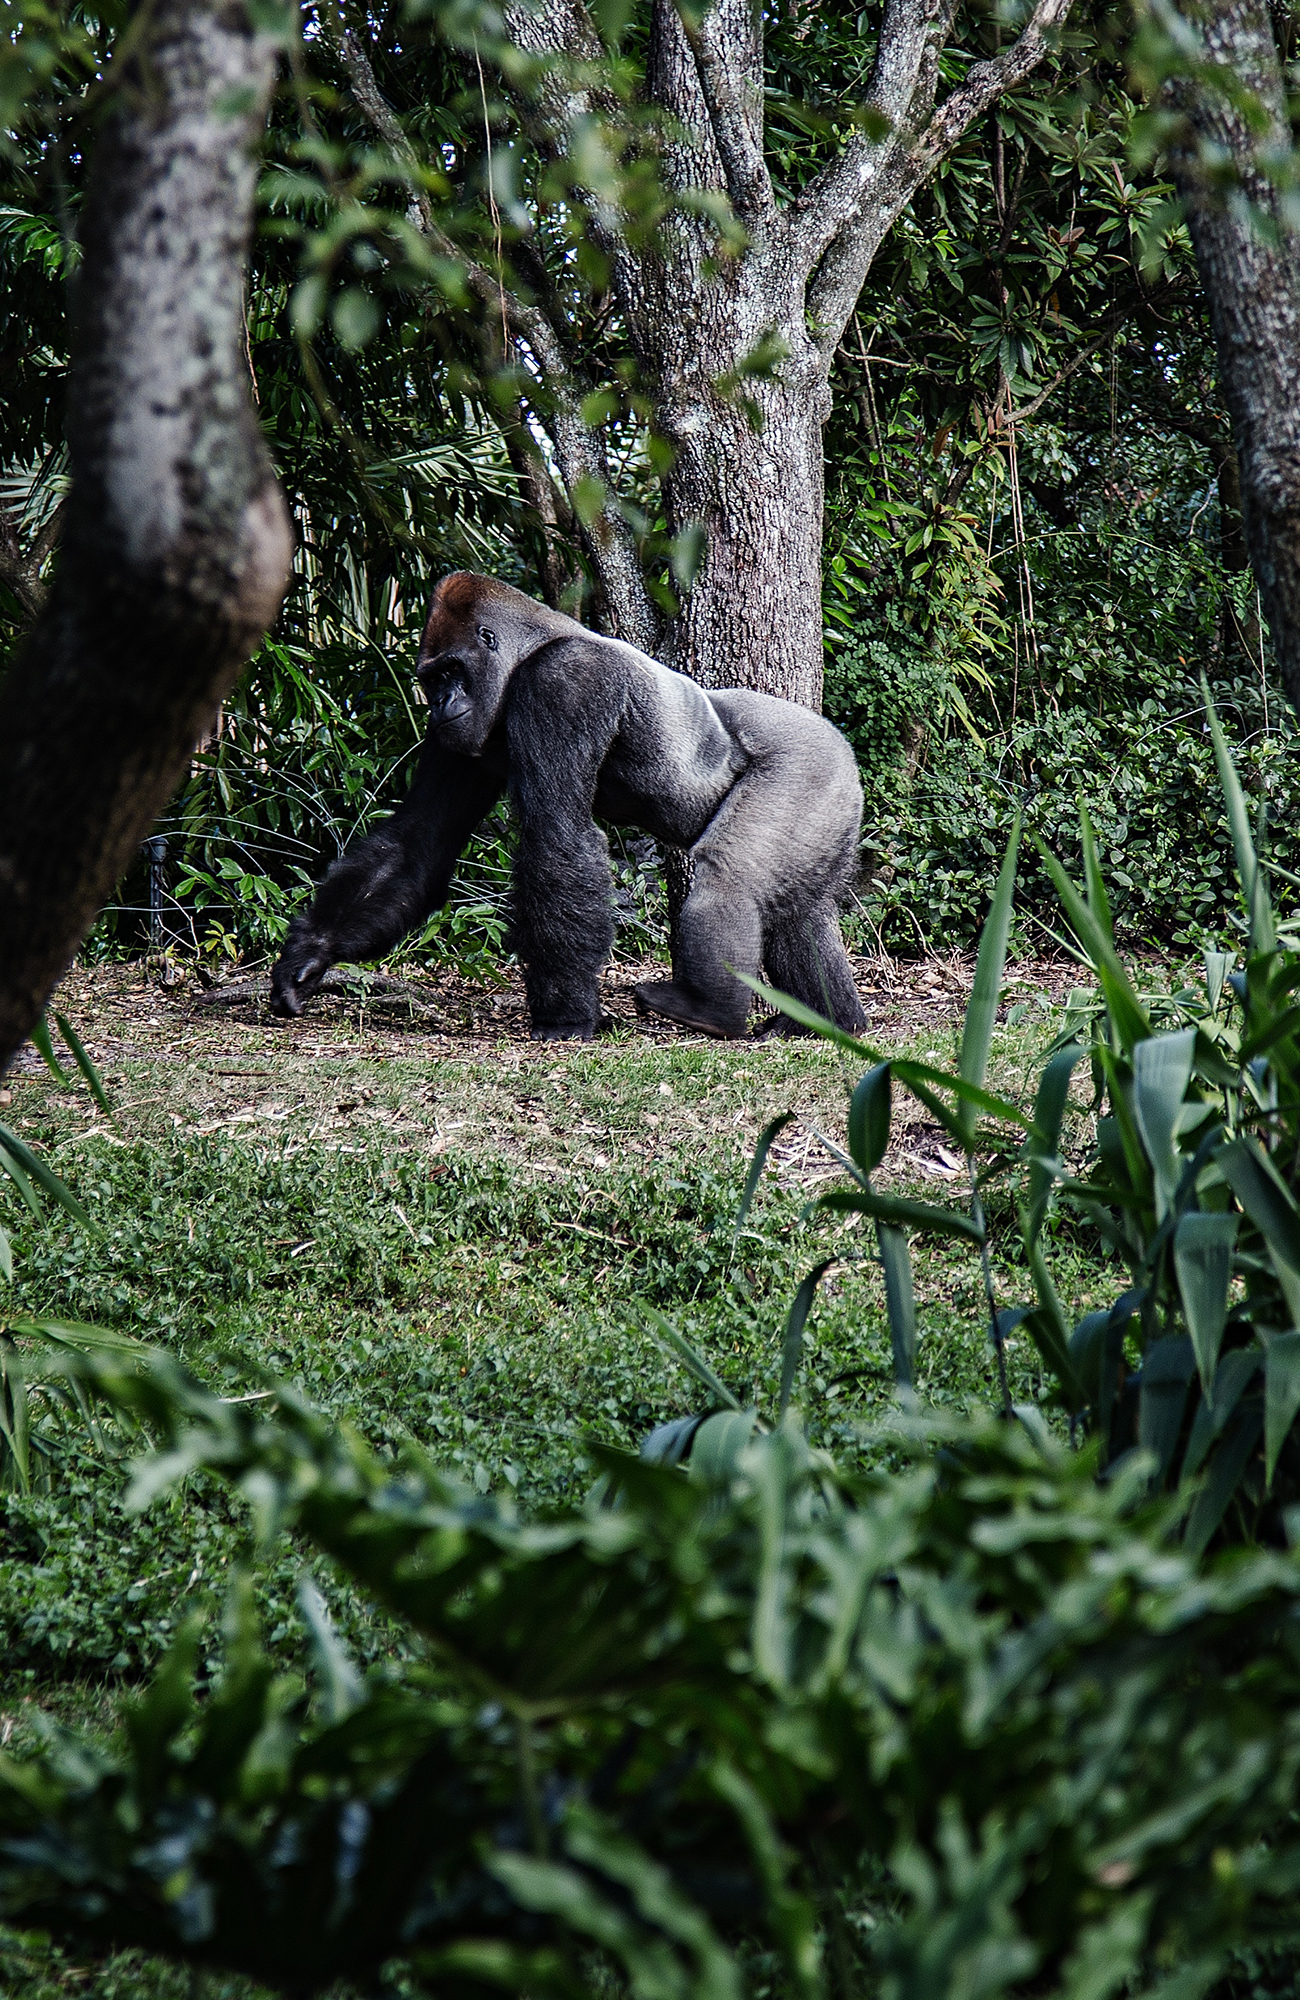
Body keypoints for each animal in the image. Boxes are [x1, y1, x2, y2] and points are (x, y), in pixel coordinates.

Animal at [270, 573, 867, 1042]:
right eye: (430, 679)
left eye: (450, 672)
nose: (438, 704)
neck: (531, 647)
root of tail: (841, 744)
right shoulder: (458, 737)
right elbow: (417, 842)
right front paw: (311, 953)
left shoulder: (563, 682)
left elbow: (555, 835)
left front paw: (565, 1016)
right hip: (830, 796)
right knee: (797, 907)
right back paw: (830, 1019)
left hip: (809, 764)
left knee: (731, 875)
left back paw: (713, 1010)